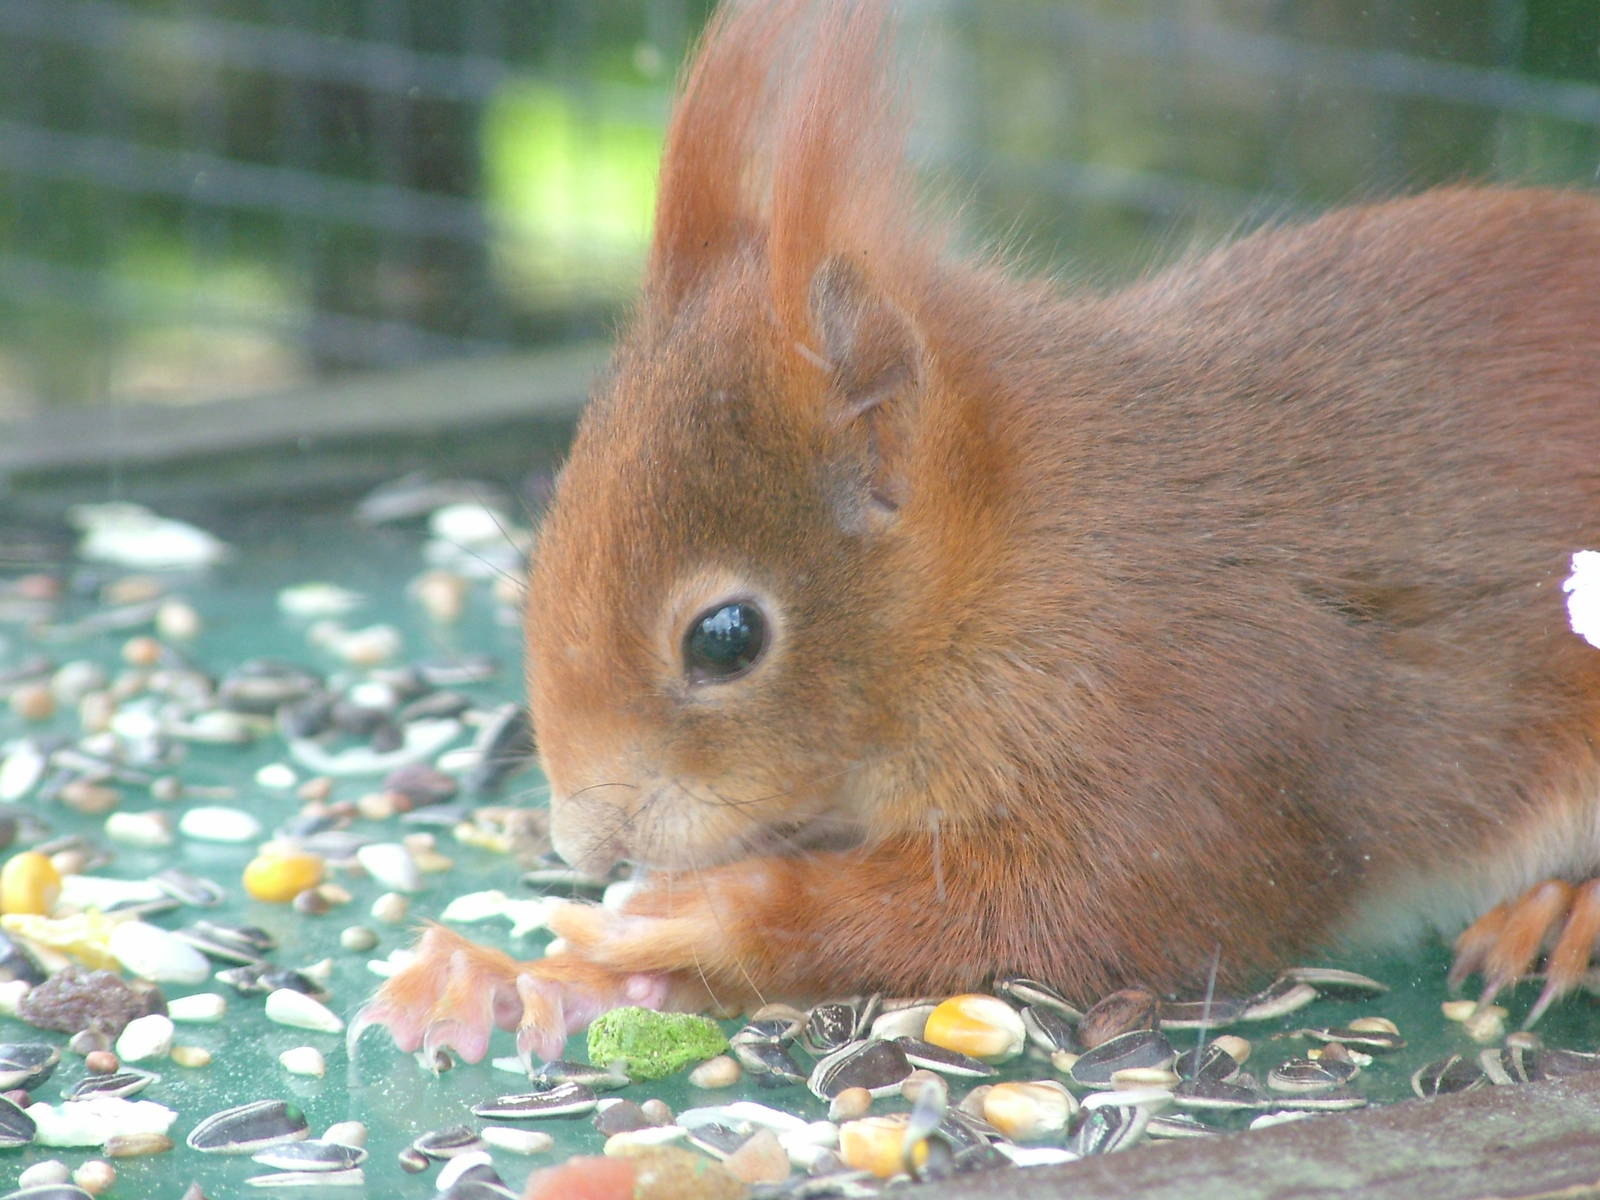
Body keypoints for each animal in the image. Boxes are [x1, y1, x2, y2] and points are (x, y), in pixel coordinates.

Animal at [353, 0, 1600, 1067]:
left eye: (725, 638)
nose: (587, 850)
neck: (1018, 564)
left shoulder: (1194, 721)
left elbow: (1084, 910)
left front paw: (711, 916)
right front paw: (512, 976)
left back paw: (1557, 910)